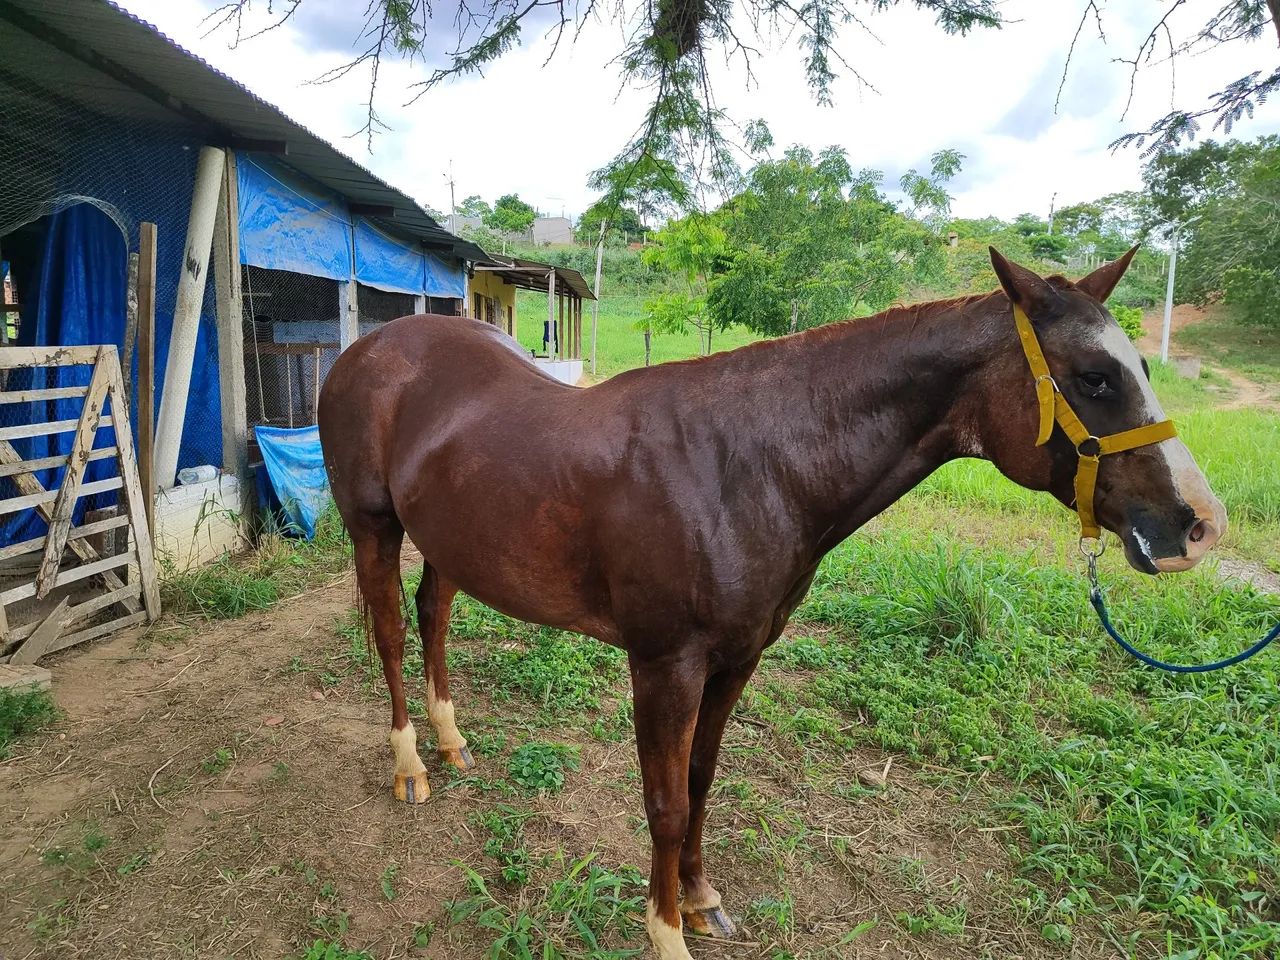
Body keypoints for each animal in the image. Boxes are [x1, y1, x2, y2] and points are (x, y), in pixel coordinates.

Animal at [317, 247, 1226, 960]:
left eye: (1142, 370)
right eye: (1094, 378)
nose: (1198, 524)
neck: (745, 464)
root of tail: (372, 350)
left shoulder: (739, 657)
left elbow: (702, 781)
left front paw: (699, 902)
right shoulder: (665, 664)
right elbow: (665, 803)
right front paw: (665, 933)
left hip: (451, 541)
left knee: (433, 616)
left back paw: (451, 742)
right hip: (374, 528)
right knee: (393, 633)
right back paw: (409, 766)